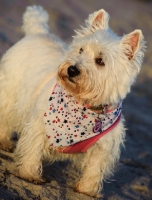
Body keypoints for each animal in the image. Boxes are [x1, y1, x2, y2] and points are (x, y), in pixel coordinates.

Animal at [0, 5, 145, 198]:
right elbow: (33, 150)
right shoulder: (39, 125)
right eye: (81, 50)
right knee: (5, 116)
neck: (83, 104)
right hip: (10, 91)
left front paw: (87, 191)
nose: (72, 69)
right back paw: (3, 141)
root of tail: (38, 32)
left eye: (100, 61)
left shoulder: (103, 147)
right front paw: (29, 175)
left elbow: (94, 169)